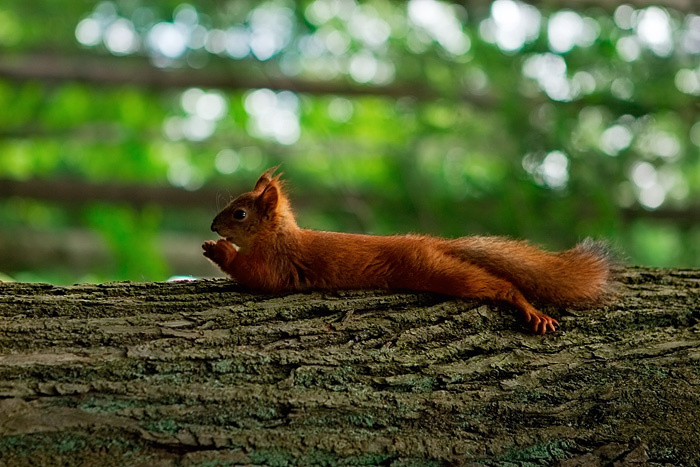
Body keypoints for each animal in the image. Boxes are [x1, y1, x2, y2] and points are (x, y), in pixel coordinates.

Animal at [203, 167, 614, 335]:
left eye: (240, 214)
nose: (212, 226)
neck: (278, 236)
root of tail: (429, 242)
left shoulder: (278, 264)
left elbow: (257, 277)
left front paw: (218, 250)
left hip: (437, 271)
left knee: (498, 285)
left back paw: (527, 307)